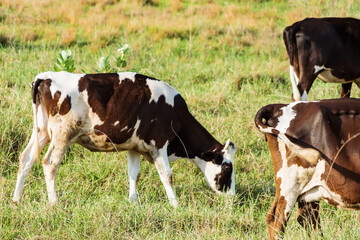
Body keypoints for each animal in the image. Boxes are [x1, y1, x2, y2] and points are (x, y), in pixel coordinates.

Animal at [12, 70, 236, 207]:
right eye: (227, 168)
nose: (233, 197)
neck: (174, 111)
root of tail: (46, 76)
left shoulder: (135, 147)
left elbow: (133, 174)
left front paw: (133, 201)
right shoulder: (158, 144)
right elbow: (167, 175)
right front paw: (175, 205)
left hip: (41, 131)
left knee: (26, 158)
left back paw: (16, 199)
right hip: (62, 135)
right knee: (49, 163)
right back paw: (54, 202)